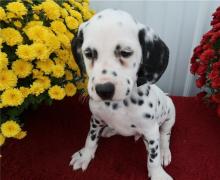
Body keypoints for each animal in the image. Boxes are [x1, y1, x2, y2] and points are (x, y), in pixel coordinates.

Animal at [69, 8, 176, 180]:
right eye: (89, 53)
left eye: (125, 52)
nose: (103, 89)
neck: (119, 105)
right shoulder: (95, 119)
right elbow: (90, 139)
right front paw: (84, 155)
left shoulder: (151, 131)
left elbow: (153, 157)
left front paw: (158, 174)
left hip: (170, 114)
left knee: (165, 135)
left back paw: (165, 152)